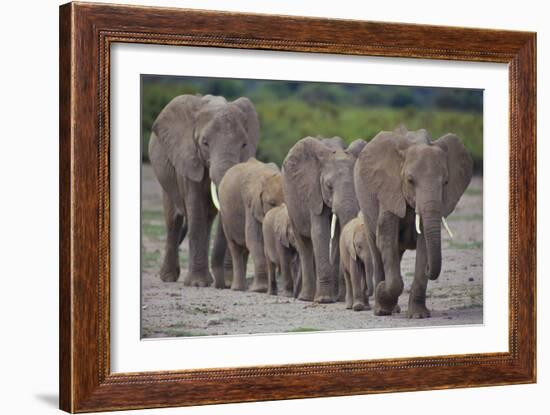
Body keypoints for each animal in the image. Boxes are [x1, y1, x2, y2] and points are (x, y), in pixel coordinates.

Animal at [149, 95, 260, 288]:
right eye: (205, 143)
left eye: (244, 144)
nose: (224, 284)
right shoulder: (188, 157)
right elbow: (195, 208)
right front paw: (197, 284)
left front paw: (225, 282)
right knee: (173, 220)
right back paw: (169, 277)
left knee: (207, 220)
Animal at [218, 158, 284, 292]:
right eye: (272, 203)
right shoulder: (250, 203)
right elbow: (254, 240)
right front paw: (260, 289)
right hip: (225, 217)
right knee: (235, 247)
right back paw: (238, 288)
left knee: (244, 249)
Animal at [282, 136, 368, 302]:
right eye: (329, 186)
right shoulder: (313, 192)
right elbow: (320, 233)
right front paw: (324, 300)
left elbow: (338, 234)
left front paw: (339, 298)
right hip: (291, 203)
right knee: (304, 244)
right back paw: (306, 298)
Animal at [358, 127, 474, 318]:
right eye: (410, 181)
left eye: (446, 182)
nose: (429, 268)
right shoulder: (389, 190)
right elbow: (386, 239)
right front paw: (383, 292)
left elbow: (424, 244)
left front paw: (418, 315)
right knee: (377, 250)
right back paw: (382, 309)